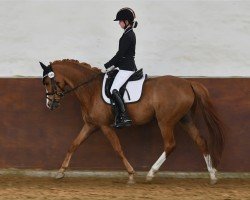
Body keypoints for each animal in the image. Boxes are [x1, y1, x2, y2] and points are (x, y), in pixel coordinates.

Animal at [39, 59, 225, 184]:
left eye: (48, 82)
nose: (49, 104)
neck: (90, 90)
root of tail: (188, 82)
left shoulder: (105, 126)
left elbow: (118, 148)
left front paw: (130, 174)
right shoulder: (91, 125)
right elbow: (74, 144)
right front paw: (60, 172)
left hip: (165, 121)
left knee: (170, 145)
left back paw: (151, 173)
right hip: (185, 119)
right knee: (200, 141)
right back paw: (212, 175)